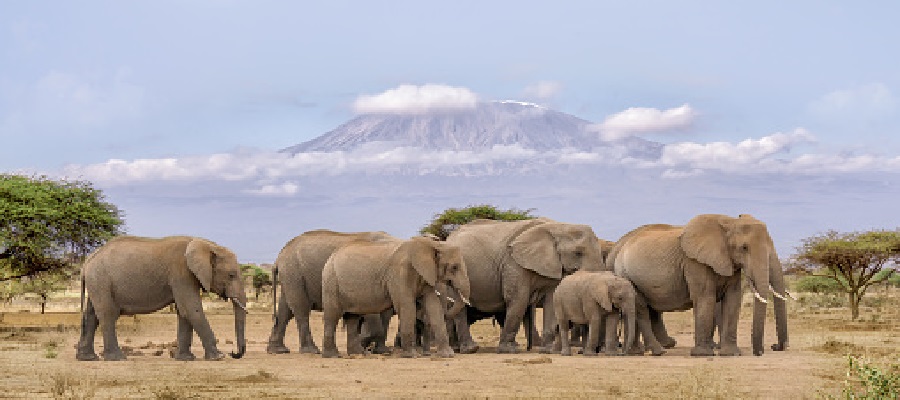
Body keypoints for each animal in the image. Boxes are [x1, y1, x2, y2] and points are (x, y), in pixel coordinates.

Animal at [76, 236, 246, 360]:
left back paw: (88, 358)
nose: (234, 353)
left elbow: (183, 312)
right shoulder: (181, 273)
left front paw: (185, 359)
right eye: (231, 275)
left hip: (97, 282)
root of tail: (87, 262)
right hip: (101, 280)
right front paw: (218, 357)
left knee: (91, 315)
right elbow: (192, 310)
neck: (206, 244)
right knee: (108, 314)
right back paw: (118, 358)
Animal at [264, 230, 398, 354]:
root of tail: (279, 257)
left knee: (285, 310)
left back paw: (278, 350)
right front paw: (375, 349)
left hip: (291, 276)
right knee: (301, 310)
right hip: (294, 274)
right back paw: (311, 351)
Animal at [320, 236, 472, 358]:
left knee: (352, 317)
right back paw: (332, 356)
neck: (432, 245)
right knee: (332, 316)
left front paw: (447, 355)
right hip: (330, 282)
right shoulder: (399, 273)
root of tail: (331, 257)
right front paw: (411, 356)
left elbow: (433, 306)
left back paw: (359, 354)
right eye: (454, 267)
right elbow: (406, 306)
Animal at [444, 219, 604, 354]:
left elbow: (551, 302)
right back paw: (470, 349)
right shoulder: (513, 263)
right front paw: (508, 350)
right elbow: (518, 300)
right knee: (460, 309)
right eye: (578, 253)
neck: (558, 226)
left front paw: (547, 350)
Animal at [608, 214, 792, 358]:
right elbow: (705, 297)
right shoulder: (694, 262)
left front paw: (730, 354)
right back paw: (652, 351)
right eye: (744, 247)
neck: (729, 222)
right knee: (640, 310)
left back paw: (641, 351)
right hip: (626, 275)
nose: (773, 347)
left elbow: (732, 299)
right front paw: (703, 354)